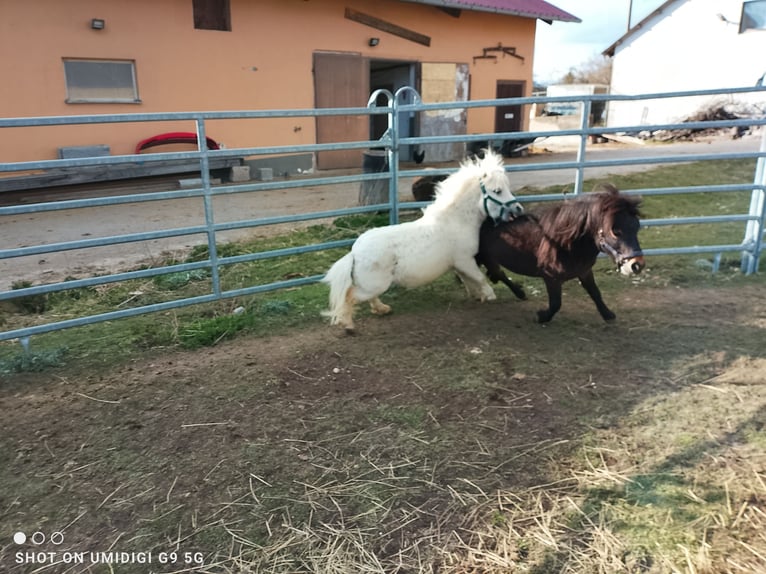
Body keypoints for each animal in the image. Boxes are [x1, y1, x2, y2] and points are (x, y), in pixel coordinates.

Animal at [323, 150, 524, 332]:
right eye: (497, 191)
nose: (518, 209)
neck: (456, 221)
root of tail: (354, 253)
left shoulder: (460, 264)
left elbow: (469, 281)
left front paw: (478, 296)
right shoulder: (464, 260)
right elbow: (479, 278)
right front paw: (490, 295)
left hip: (372, 285)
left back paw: (382, 309)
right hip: (374, 285)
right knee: (349, 297)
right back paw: (348, 325)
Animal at [476, 184, 645, 323]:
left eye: (637, 227)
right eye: (615, 231)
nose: (637, 265)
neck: (564, 242)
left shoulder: (584, 271)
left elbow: (595, 292)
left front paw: (607, 314)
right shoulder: (551, 277)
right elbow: (556, 303)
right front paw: (542, 316)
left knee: (497, 273)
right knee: (497, 273)